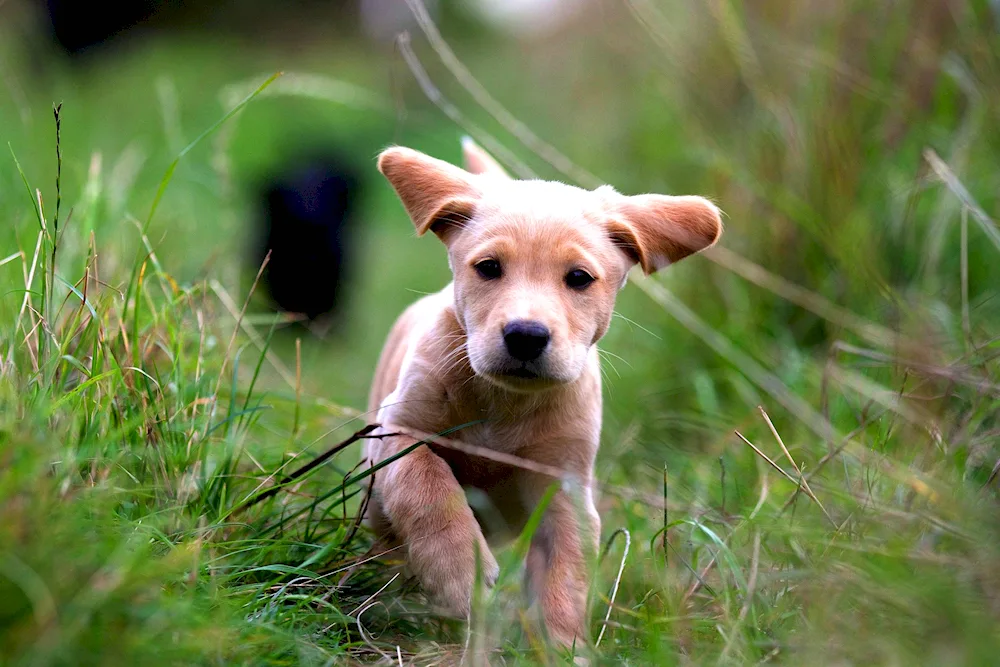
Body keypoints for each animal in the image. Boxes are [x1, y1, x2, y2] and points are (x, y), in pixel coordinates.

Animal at [364, 140, 724, 648]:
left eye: (579, 278)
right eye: (489, 268)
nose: (526, 336)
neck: (504, 402)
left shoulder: (564, 489)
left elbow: (565, 575)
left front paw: (562, 646)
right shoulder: (396, 431)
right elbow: (427, 483)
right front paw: (461, 574)